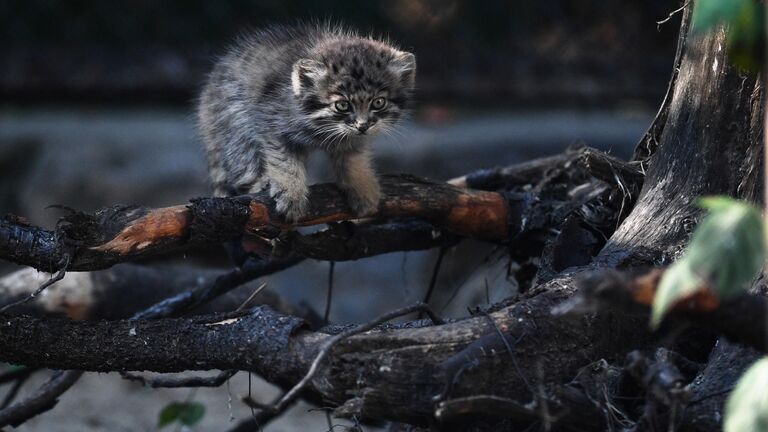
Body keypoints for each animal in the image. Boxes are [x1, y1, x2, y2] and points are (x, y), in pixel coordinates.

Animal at [196, 23, 414, 219]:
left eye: (378, 102)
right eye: (342, 105)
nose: (363, 125)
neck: (322, 127)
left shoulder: (353, 139)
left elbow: (352, 158)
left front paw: (363, 188)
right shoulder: (272, 125)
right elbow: (284, 161)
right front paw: (291, 195)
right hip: (234, 126)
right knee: (243, 165)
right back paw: (263, 182)